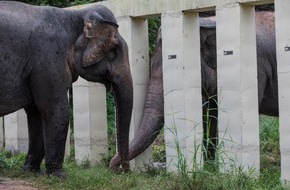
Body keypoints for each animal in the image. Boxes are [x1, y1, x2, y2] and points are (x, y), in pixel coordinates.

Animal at [0, 1, 133, 177]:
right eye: (113, 50)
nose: (124, 171)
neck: (73, 16)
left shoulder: (35, 68)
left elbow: (36, 113)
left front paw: (31, 172)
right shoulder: (48, 59)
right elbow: (56, 111)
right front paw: (58, 176)